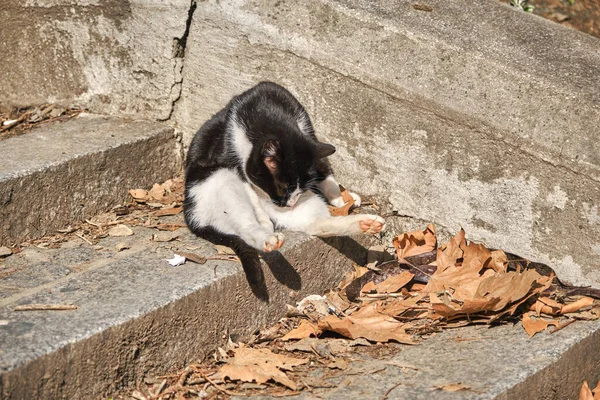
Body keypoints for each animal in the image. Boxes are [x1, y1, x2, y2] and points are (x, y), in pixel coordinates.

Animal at [183, 81, 384, 262]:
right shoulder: (228, 153)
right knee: (246, 226)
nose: (288, 204)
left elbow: (323, 167)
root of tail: (192, 218)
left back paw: (367, 223)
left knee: (314, 224)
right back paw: (268, 236)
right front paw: (262, 218)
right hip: (218, 179)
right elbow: (248, 187)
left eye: (302, 187)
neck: (265, 110)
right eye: (283, 187)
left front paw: (340, 198)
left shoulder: (306, 130)